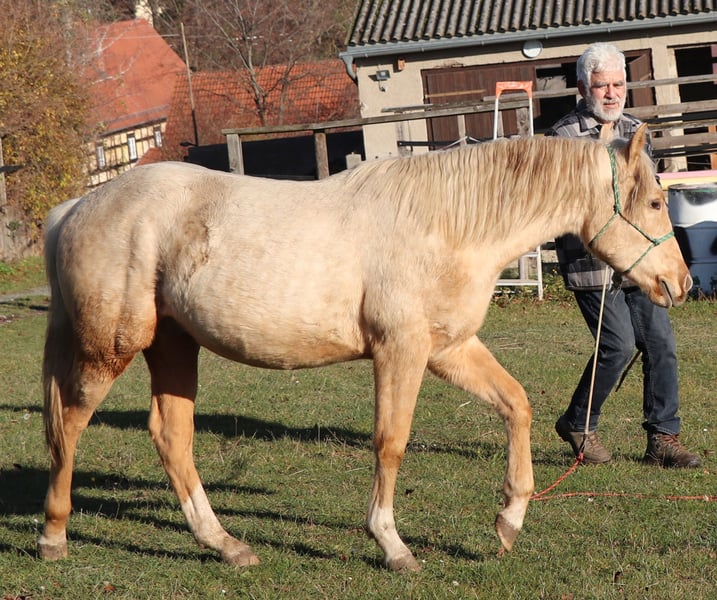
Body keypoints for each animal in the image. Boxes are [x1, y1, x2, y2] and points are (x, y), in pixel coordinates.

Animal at [38, 124, 690, 571]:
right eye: (656, 203)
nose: (680, 284)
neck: (444, 225)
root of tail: (74, 208)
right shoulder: (399, 351)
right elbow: (390, 442)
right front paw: (392, 545)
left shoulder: (449, 349)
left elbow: (517, 405)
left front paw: (508, 521)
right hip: (111, 347)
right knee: (70, 423)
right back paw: (53, 535)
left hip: (174, 347)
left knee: (171, 437)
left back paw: (225, 545)